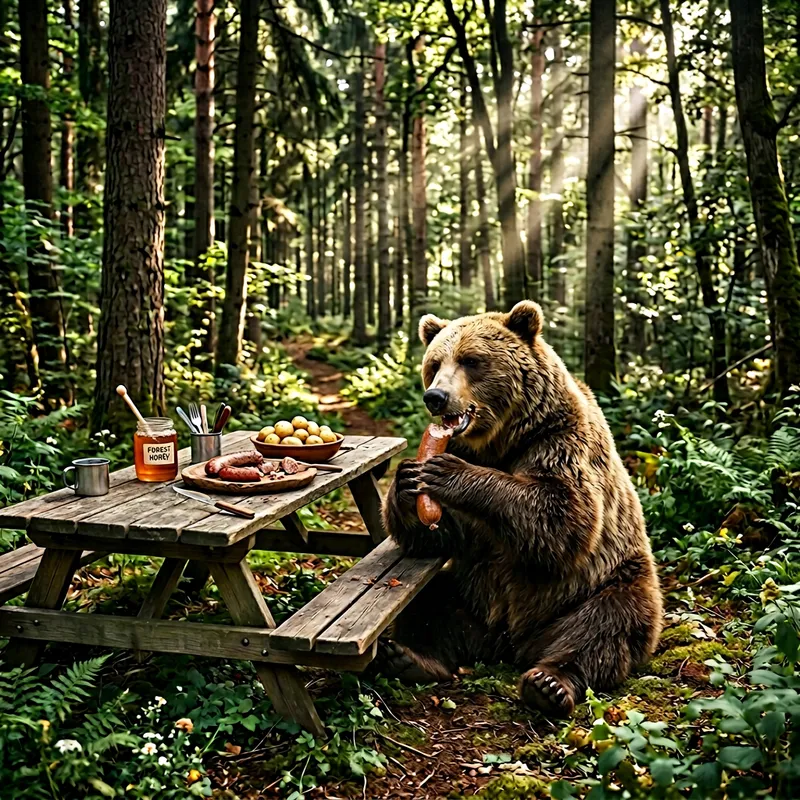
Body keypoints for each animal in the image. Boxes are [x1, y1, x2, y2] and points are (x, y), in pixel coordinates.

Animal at [378, 300, 663, 716]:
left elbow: (561, 514)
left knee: (610, 622)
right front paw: (408, 478)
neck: (501, 440)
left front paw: (446, 472)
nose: (436, 396)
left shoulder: (559, 440)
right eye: (434, 362)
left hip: (604, 580)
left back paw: (549, 683)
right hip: (471, 594)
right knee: (429, 603)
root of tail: (509, 645)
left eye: (471, 360)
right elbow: (440, 537)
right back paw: (409, 657)